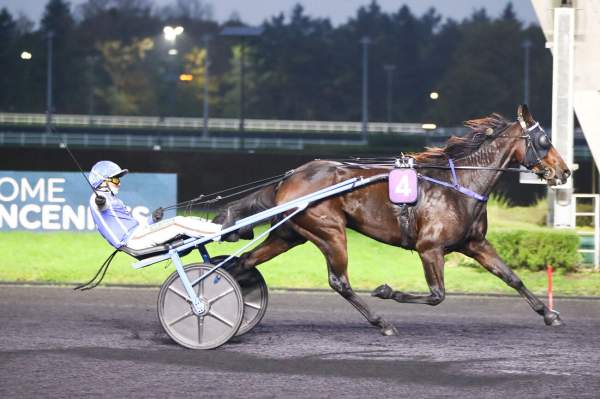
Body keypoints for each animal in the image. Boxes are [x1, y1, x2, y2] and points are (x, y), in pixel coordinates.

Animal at [213, 104, 568, 336]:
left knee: (243, 263)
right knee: (339, 281)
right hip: (330, 230)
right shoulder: (429, 248)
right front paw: (387, 291)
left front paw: (549, 314)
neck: (460, 185)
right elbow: (437, 295)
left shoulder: (475, 244)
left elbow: (512, 278)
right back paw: (381, 322)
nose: (564, 171)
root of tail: (288, 178)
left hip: (290, 233)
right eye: (545, 141)